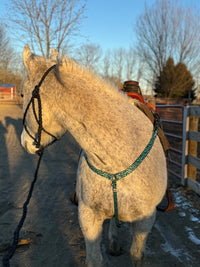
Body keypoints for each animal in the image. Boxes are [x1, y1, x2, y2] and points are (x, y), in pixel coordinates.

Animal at [20, 45, 167, 266]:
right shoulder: (88, 217)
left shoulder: (145, 222)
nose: (24, 143)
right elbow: (94, 258)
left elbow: (136, 255)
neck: (116, 159)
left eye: (22, 94)